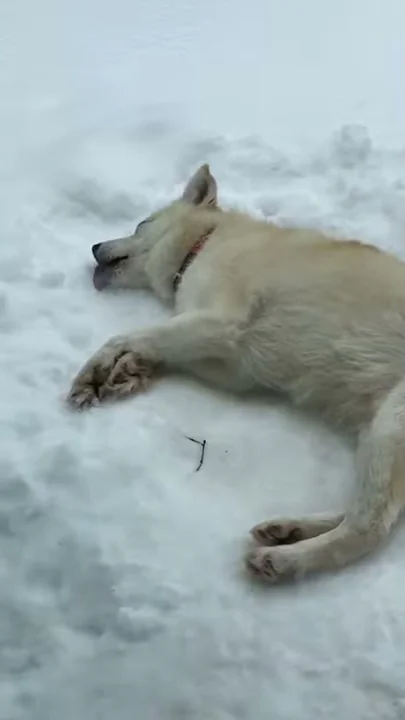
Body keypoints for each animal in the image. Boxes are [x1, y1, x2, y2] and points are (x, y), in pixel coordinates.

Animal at [68, 165, 402, 584]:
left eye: (141, 224)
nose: (94, 246)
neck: (201, 247)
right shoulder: (233, 364)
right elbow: (158, 349)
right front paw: (130, 373)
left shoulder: (221, 322)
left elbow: (125, 337)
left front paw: (95, 373)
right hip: (374, 437)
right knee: (365, 514)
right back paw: (288, 529)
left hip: (388, 432)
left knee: (370, 528)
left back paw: (284, 559)